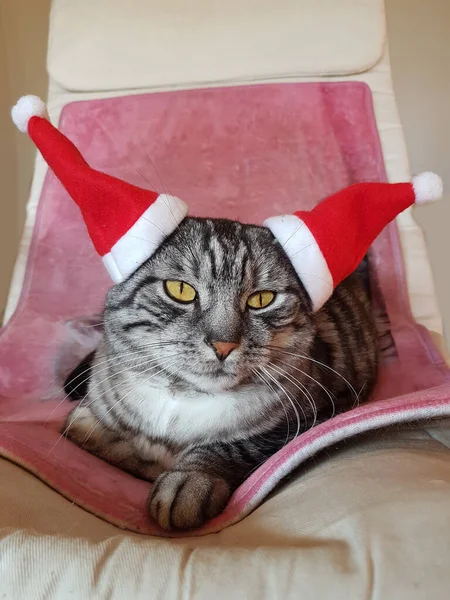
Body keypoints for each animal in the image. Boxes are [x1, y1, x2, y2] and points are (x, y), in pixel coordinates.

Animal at [62, 216, 380, 528]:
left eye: (261, 299)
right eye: (180, 290)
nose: (223, 345)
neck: (182, 400)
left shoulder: (316, 418)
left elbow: (231, 446)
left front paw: (187, 479)